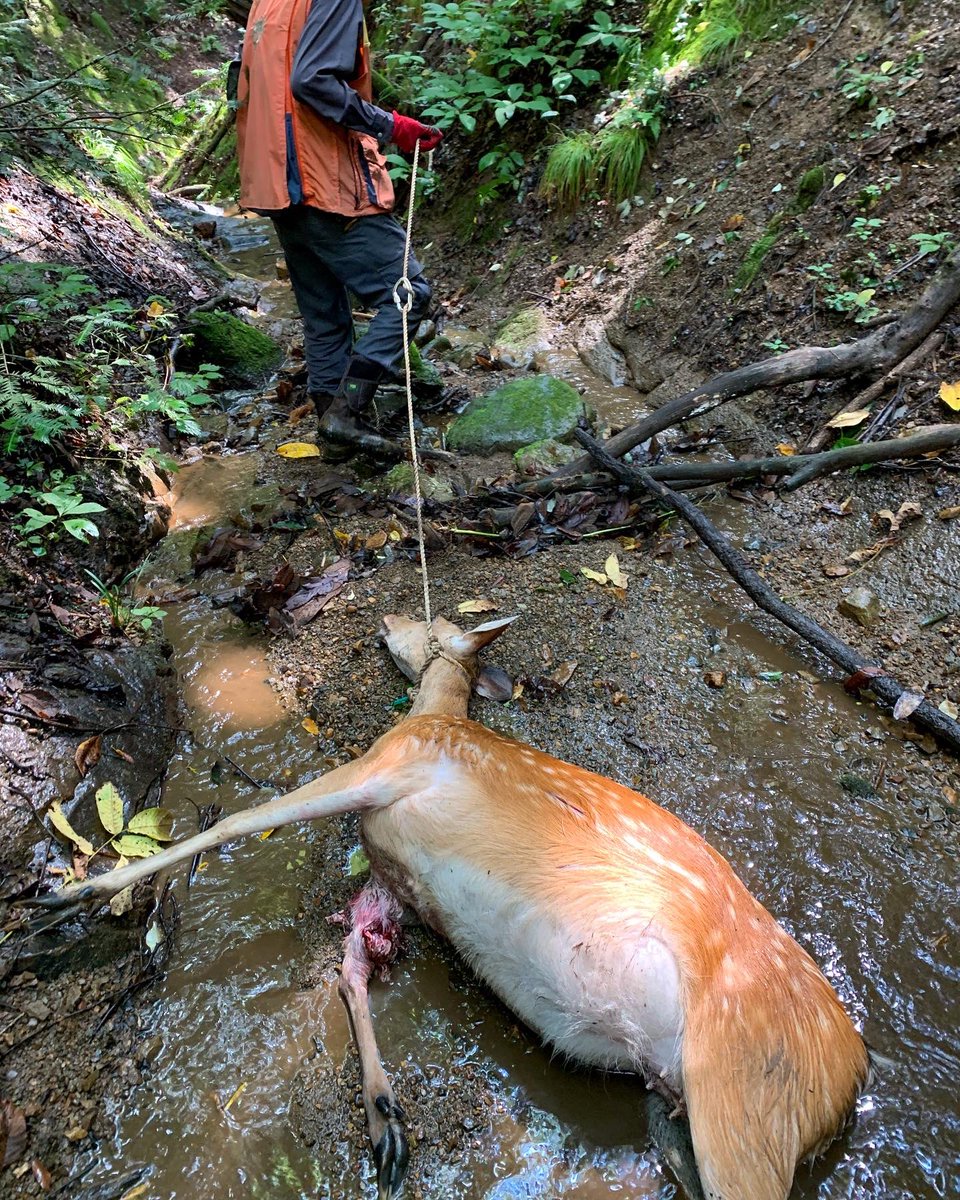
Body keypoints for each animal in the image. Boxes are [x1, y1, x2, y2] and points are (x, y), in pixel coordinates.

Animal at [28, 613, 870, 1200]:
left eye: (429, 621)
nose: (384, 616)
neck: (434, 715)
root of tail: (847, 1084)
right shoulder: (400, 878)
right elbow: (351, 967)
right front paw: (384, 1123)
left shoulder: (387, 766)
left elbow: (241, 822)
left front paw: (76, 891)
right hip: (678, 1109)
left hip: (743, 1096)